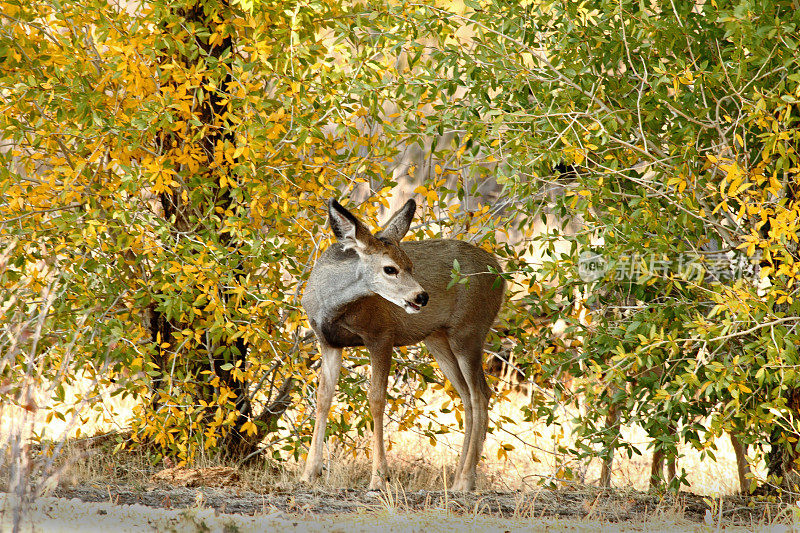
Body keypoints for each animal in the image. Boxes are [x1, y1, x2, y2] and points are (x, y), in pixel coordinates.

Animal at [300, 198, 506, 490]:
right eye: (390, 268)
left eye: (410, 265)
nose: (421, 297)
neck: (331, 304)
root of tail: (499, 272)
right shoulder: (329, 342)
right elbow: (323, 398)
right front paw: (309, 472)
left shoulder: (381, 335)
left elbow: (376, 399)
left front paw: (379, 477)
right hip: (438, 339)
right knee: (468, 396)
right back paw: (457, 479)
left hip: (469, 330)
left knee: (480, 394)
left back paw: (466, 480)